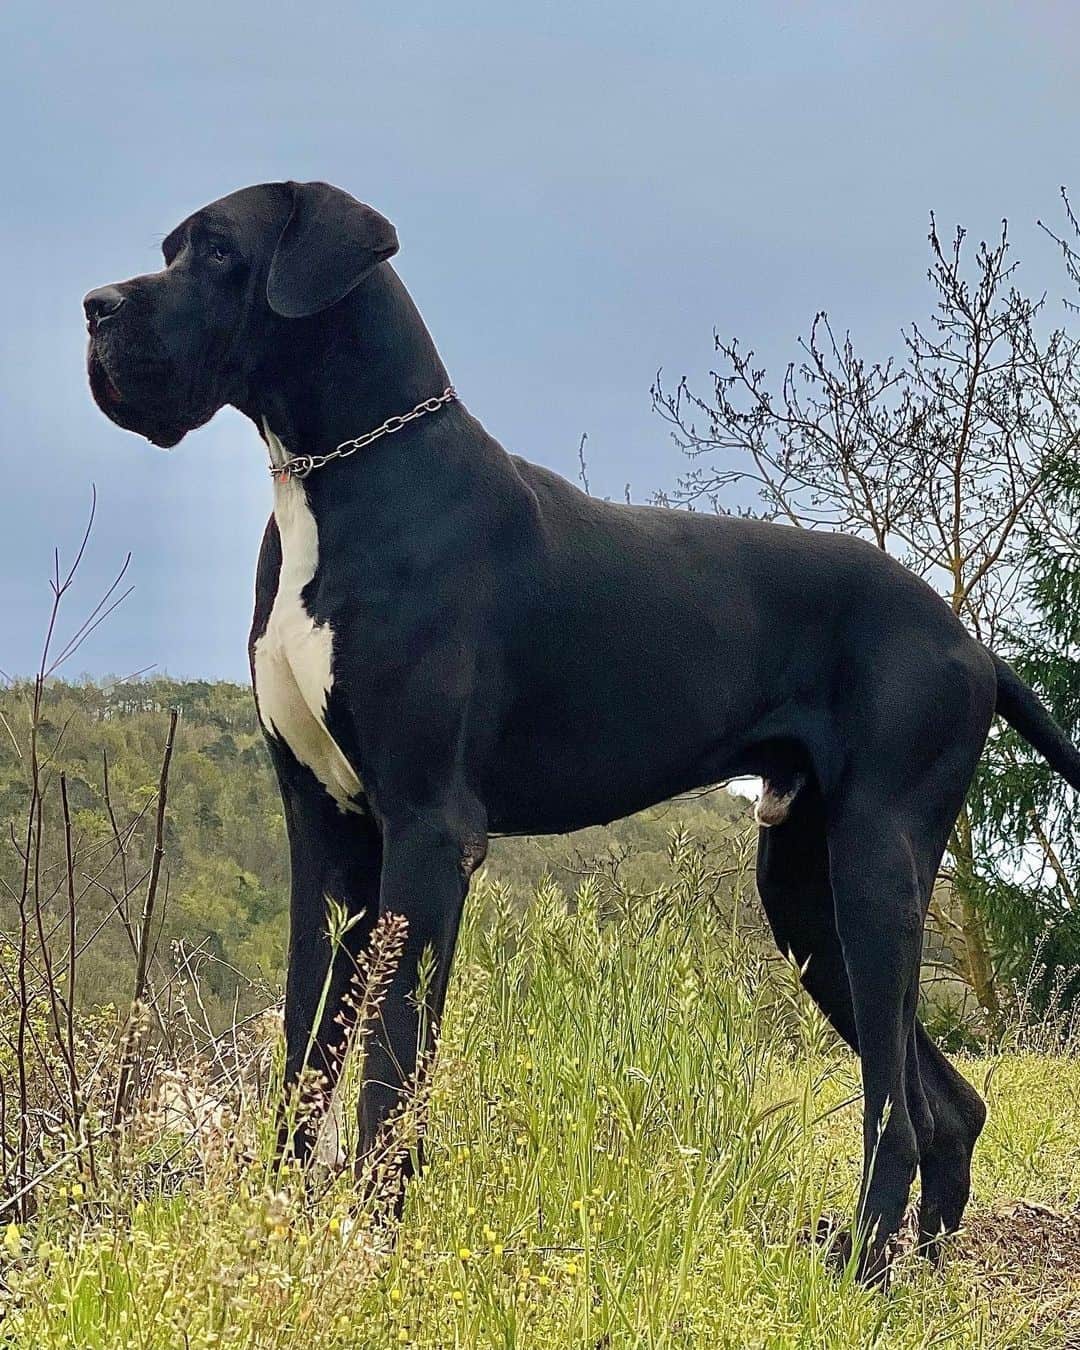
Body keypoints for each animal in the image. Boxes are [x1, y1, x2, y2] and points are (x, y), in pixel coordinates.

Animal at [86, 179, 1080, 1274]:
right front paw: (274, 1244)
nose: (95, 306)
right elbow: (307, 1053)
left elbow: (390, 1070)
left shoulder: (428, 831)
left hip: (872, 867)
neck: (339, 478)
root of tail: (971, 644)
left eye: (219, 251)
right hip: (805, 890)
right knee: (946, 1104)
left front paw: (374, 1248)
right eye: (171, 249)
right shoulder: (329, 836)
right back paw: (913, 1272)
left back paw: (857, 1268)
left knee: (895, 1111)